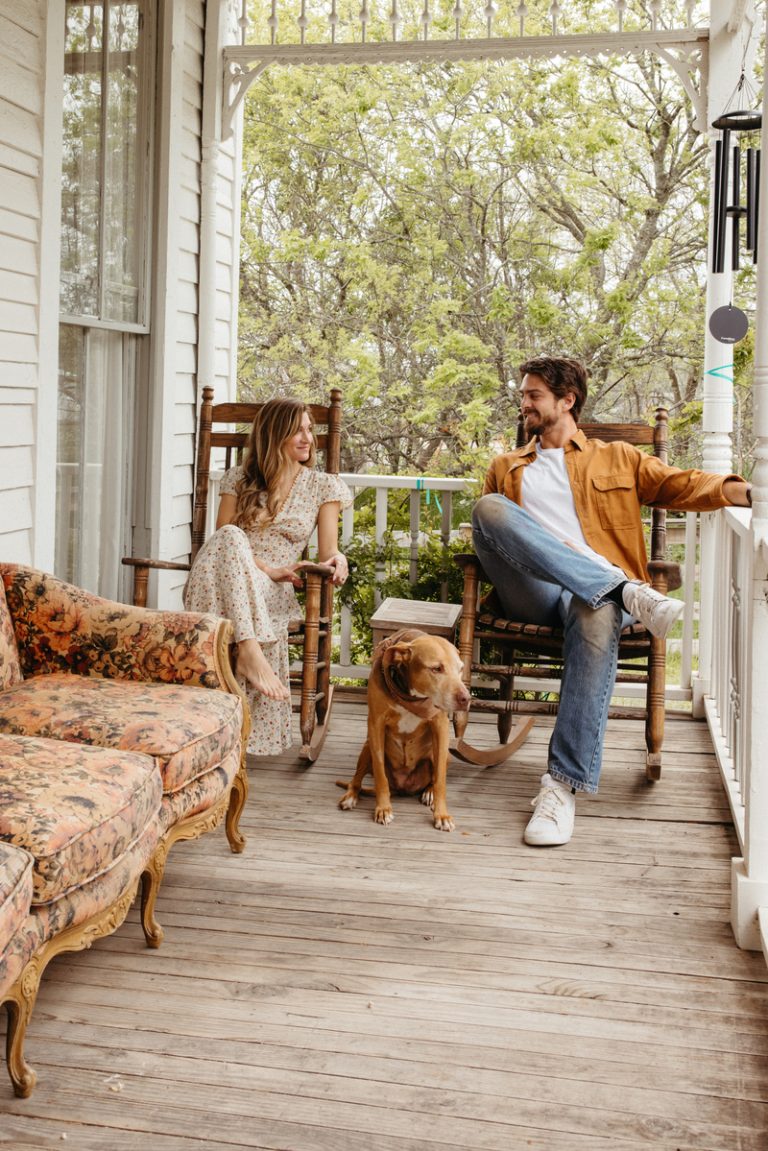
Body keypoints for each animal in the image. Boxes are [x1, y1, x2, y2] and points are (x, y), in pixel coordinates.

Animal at [338, 626, 472, 833]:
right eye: (436, 669)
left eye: (460, 669)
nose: (466, 698)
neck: (411, 696)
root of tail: (403, 787)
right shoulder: (376, 724)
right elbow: (380, 775)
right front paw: (383, 809)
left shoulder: (440, 726)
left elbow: (440, 779)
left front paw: (442, 815)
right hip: (367, 748)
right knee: (356, 779)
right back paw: (350, 796)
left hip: (445, 754)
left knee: (434, 776)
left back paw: (429, 793)